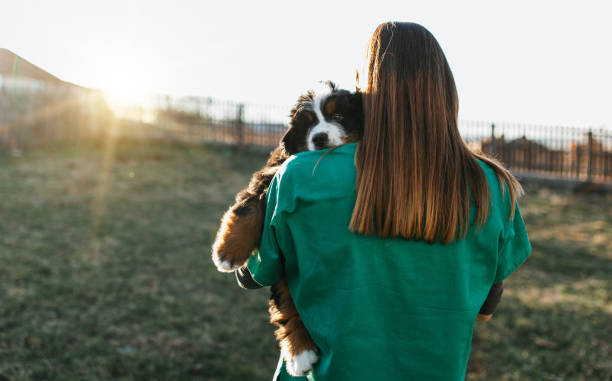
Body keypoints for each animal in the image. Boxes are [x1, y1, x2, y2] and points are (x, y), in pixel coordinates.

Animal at [210, 81, 364, 376]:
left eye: (339, 116)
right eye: (308, 124)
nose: (319, 139)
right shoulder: (271, 173)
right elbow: (248, 208)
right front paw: (226, 252)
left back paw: (299, 353)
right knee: (286, 299)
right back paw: (300, 352)